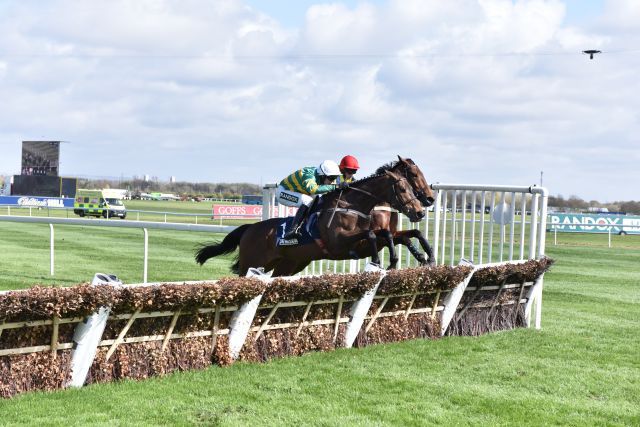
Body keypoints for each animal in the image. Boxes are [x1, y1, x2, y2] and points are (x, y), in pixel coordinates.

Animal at [196, 169, 424, 280]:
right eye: (403, 189)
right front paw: (380, 261)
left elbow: (386, 234)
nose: (420, 211)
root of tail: (250, 228)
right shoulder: (338, 243)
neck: (349, 206)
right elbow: (373, 235)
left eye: (411, 187)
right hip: (250, 263)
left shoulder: (360, 243)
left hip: (287, 264)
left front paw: (418, 256)